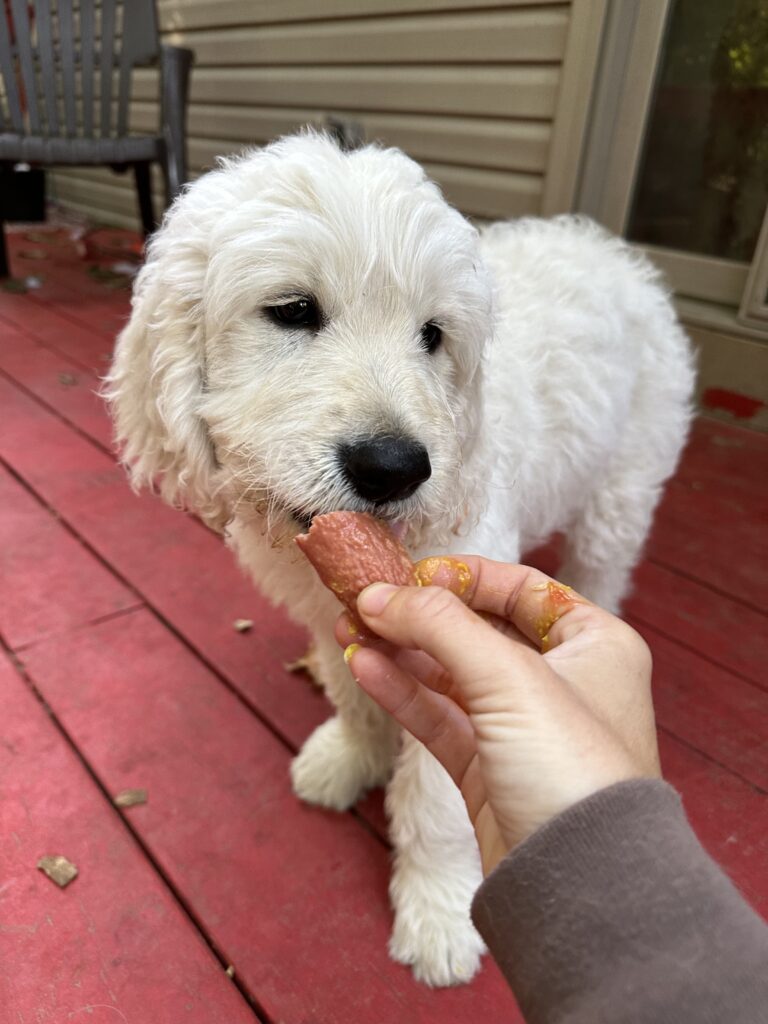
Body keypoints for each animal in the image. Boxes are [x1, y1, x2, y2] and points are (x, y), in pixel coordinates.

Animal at [106, 131, 694, 987]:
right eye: (293, 311)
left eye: (433, 335)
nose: (392, 468)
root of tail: (608, 246)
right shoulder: (333, 604)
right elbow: (352, 692)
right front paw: (348, 758)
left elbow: (438, 801)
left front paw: (439, 912)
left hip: (621, 490)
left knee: (603, 570)